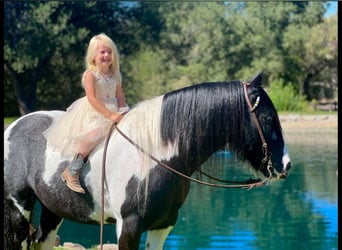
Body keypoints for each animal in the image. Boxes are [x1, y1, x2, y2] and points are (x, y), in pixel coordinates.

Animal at [3, 71, 292, 249]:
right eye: (267, 117)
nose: (286, 165)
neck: (157, 156)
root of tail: (14, 126)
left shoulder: (162, 226)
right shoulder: (128, 228)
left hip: (52, 210)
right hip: (19, 207)